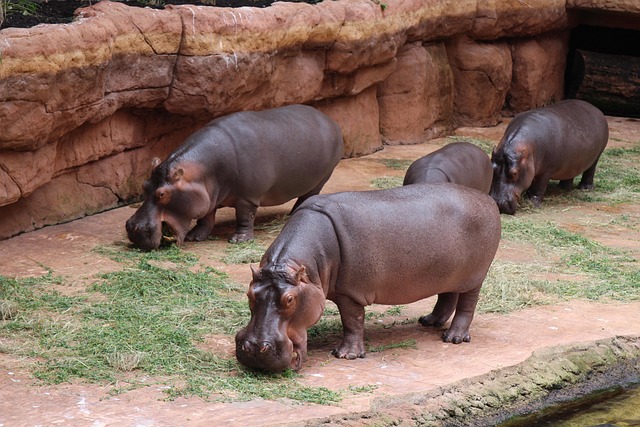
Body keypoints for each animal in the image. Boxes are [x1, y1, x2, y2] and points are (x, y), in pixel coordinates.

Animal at [126, 104, 343, 250]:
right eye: (144, 185)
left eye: (162, 194)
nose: (133, 228)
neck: (201, 172)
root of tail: (331, 121)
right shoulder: (209, 197)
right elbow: (206, 217)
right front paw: (195, 237)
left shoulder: (248, 197)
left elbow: (245, 217)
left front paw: (239, 240)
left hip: (322, 178)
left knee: (308, 196)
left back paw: (295, 213)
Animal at [235, 184, 501, 372]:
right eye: (249, 294)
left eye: (290, 299)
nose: (255, 349)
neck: (302, 270)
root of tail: (487, 199)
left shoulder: (350, 292)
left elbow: (352, 321)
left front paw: (345, 355)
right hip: (448, 272)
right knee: (447, 295)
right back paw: (429, 321)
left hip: (475, 276)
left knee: (467, 304)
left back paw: (454, 338)